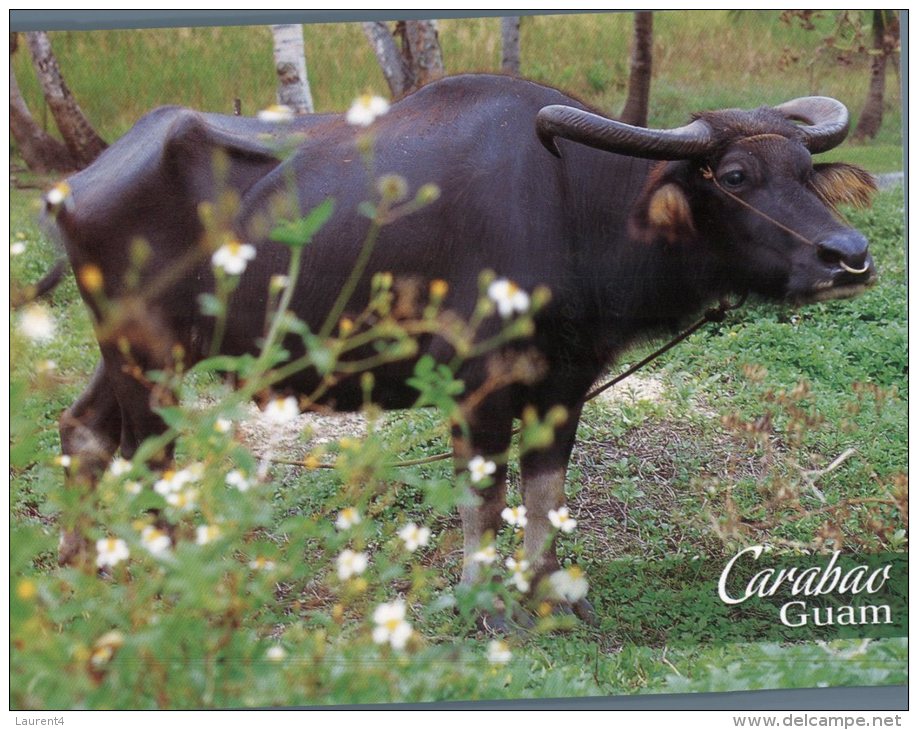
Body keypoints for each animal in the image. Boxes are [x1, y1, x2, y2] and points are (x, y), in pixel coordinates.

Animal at [48, 75, 876, 608]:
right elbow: (483, 495)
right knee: (148, 462)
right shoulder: (477, 384)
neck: (573, 208)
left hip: (134, 353)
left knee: (83, 431)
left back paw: (81, 572)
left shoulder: (565, 381)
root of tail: (78, 184)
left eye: (805, 170)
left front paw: (547, 592)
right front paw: (482, 600)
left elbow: (544, 491)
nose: (850, 256)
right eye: (734, 175)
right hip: (146, 359)